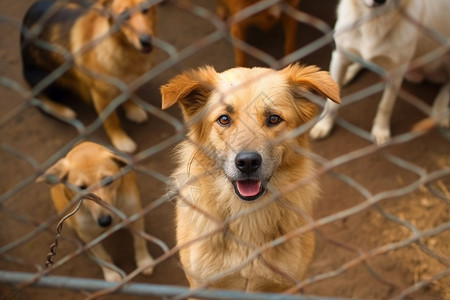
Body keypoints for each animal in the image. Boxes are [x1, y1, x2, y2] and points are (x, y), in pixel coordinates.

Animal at [21, 0, 158, 152]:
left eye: (145, 10)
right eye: (124, 15)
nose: (146, 41)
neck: (122, 47)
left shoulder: (131, 81)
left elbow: (130, 96)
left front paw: (133, 110)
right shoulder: (100, 96)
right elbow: (112, 121)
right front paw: (121, 140)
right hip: (46, 75)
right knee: (38, 98)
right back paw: (62, 111)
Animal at [37, 141, 153, 282]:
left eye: (108, 180)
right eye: (81, 188)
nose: (105, 221)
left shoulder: (135, 215)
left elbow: (139, 242)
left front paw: (144, 261)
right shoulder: (88, 235)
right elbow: (102, 256)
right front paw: (111, 274)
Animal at [160, 63, 340, 292]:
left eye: (273, 118)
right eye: (224, 119)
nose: (247, 162)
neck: (247, 215)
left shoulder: (288, 285)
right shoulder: (200, 286)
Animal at [312, 0, 448, 144]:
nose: (380, 1)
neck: (373, 22)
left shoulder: (396, 73)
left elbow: (385, 105)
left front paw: (381, 130)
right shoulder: (339, 57)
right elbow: (331, 103)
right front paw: (324, 125)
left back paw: (441, 110)